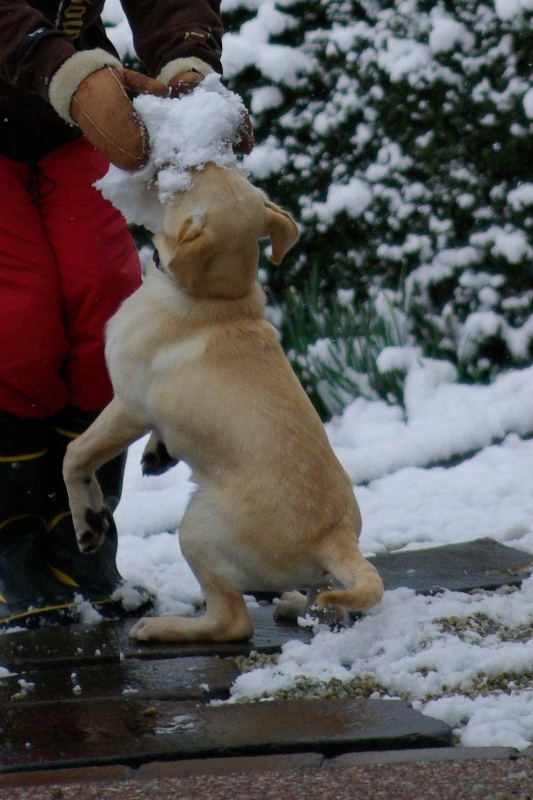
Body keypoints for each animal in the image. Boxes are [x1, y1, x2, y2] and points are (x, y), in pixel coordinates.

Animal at [63, 164, 382, 644]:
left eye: (188, 183)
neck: (219, 298)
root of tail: (335, 536)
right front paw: (158, 453)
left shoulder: (128, 405)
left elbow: (76, 454)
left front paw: (88, 522)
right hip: (320, 578)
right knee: (328, 609)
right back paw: (293, 605)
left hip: (196, 530)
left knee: (231, 621)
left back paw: (161, 628)